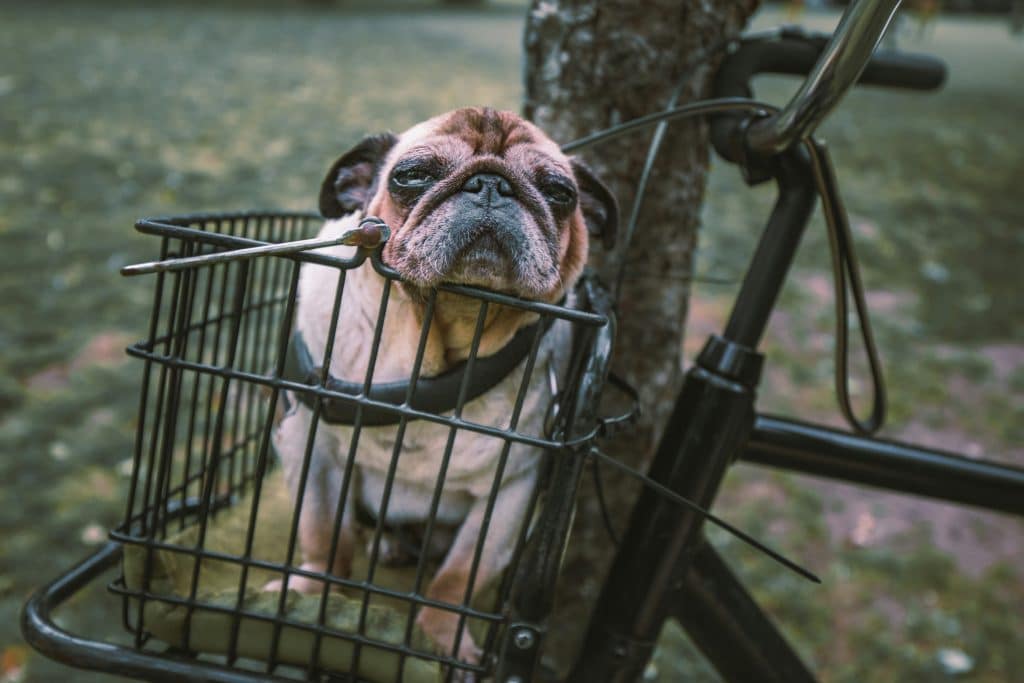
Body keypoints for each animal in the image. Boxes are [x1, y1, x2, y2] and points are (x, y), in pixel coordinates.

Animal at [270, 107, 614, 671]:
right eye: (411, 176)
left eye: (559, 193)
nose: (491, 184)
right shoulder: (310, 449)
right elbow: (322, 534)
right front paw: (310, 594)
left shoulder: (509, 493)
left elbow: (458, 577)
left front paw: (442, 638)